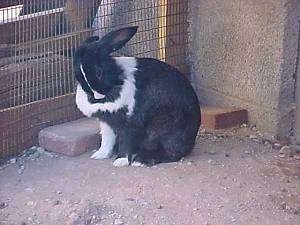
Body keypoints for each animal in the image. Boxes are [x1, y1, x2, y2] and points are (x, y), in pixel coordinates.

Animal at [73, 26, 200, 167]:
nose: (97, 96)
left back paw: (141, 161)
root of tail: (192, 141)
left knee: (171, 152)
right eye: (77, 75)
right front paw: (100, 155)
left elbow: (126, 141)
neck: (117, 78)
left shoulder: (129, 123)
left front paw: (120, 161)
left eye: (99, 72)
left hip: (167, 128)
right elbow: (107, 140)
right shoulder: (106, 122)